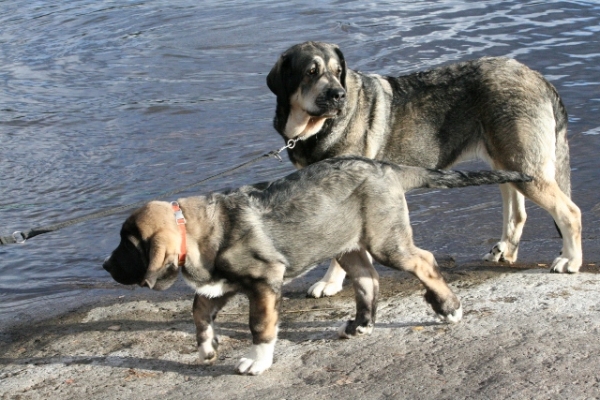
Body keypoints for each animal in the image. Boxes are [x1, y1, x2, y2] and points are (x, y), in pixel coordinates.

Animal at [105, 156, 532, 376]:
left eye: (128, 245)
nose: (106, 265)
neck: (193, 229)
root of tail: (387, 167)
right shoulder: (225, 283)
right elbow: (198, 309)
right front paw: (207, 349)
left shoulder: (264, 281)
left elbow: (260, 326)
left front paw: (257, 362)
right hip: (347, 245)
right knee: (367, 279)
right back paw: (361, 324)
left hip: (386, 241)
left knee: (424, 262)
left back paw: (449, 308)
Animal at [266, 41, 580, 296]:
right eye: (311, 72)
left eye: (337, 70)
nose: (338, 95)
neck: (313, 130)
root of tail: (538, 78)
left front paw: (330, 283)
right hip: (507, 166)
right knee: (517, 213)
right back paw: (506, 251)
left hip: (526, 168)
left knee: (570, 211)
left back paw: (570, 260)